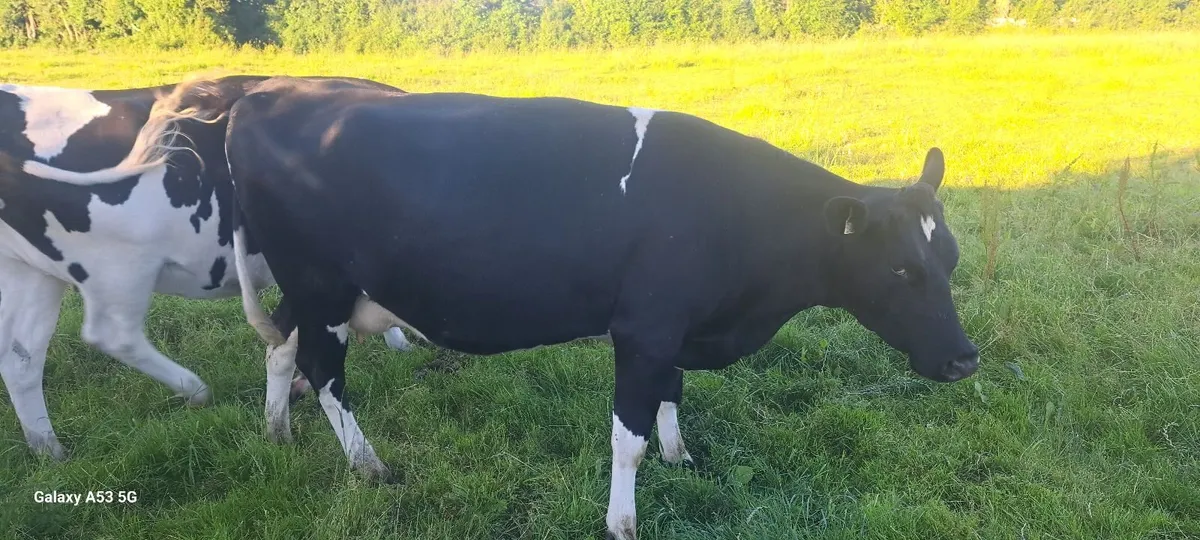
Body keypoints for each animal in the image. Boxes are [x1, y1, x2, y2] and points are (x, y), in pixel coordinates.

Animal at [0, 76, 417, 461]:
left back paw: (49, 449)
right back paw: (194, 388)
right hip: (119, 265)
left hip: (34, 271)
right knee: (113, 334)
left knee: (22, 358)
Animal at [40, 78, 980, 540]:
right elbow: (627, 434)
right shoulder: (642, 327)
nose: (966, 358)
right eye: (901, 269)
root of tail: (258, 97)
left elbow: (671, 399)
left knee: (281, 353)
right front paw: (623, 520)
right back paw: (368, 464)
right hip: (322, 283)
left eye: (950, 260)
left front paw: (683, 457)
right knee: (322, 368)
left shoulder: (673, 324)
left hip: (309, 288)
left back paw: (277, 432)